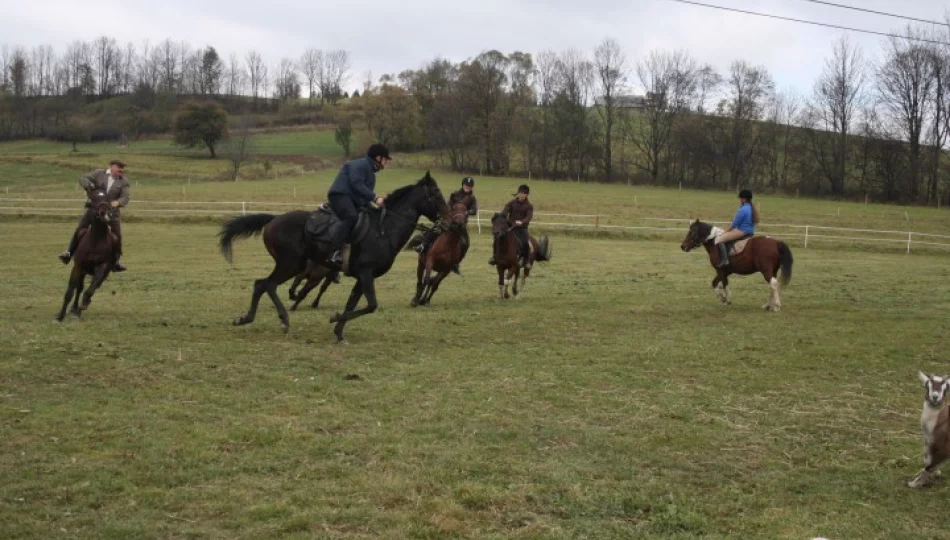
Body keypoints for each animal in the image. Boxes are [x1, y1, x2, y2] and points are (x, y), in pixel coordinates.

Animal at [56, 189, 120, 320]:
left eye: (107, 199)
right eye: (93, 199)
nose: (104, 214)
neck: (96, 240)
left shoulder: (101, 267)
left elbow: (91, 289)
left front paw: (84, 303)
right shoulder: (78, 266)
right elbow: (70, 291)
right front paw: (61, 315)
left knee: (92, 287)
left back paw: (79, 309)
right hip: (82, 271)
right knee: (79, 288)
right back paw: (74, 309)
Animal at [219, 171, 450, 344]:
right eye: (436, 194)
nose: (449, 221)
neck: (384, 230)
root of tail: (274, 219)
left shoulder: (362, 277)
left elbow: (353, 305)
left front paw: (339, 333)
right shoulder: (366, 273)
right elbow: (371, 305)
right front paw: (335, 318)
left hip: (295, 265)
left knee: (264, 285)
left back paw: (250, 318)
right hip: (289, 264)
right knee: (265, 284)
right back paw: (279, 319)